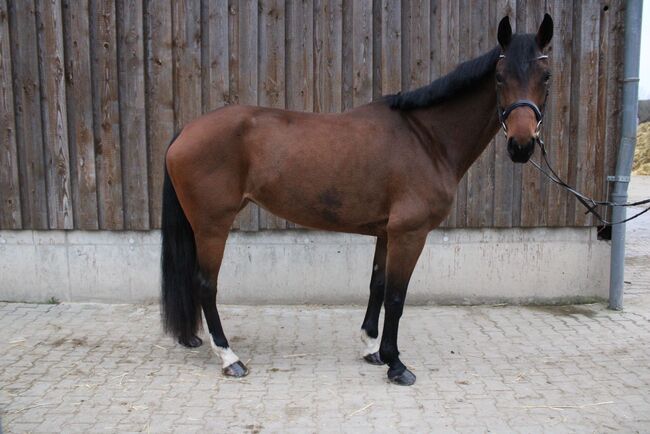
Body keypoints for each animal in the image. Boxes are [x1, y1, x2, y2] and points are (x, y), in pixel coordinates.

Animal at [159, 14, 548, 386]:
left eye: (545, 76)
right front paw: (396, 365)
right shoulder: (411, 234)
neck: (427, 139)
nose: (521, 145)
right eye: (499, 77)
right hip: (212, 226)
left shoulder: (388, 233)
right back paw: (229, 358)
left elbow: (377, 285)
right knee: (206, 285)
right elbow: (396, 297)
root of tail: (186, 130)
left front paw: (372, 349)